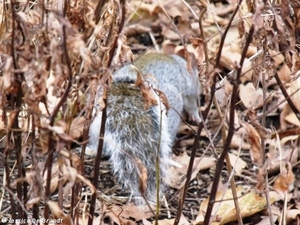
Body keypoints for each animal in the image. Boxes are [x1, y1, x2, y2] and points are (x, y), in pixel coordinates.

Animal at [85, 53, 200, 204]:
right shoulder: (190, 85)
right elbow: (192, 102)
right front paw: (196, 116)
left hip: (95, 127)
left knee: (102, 146)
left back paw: (92, 150)